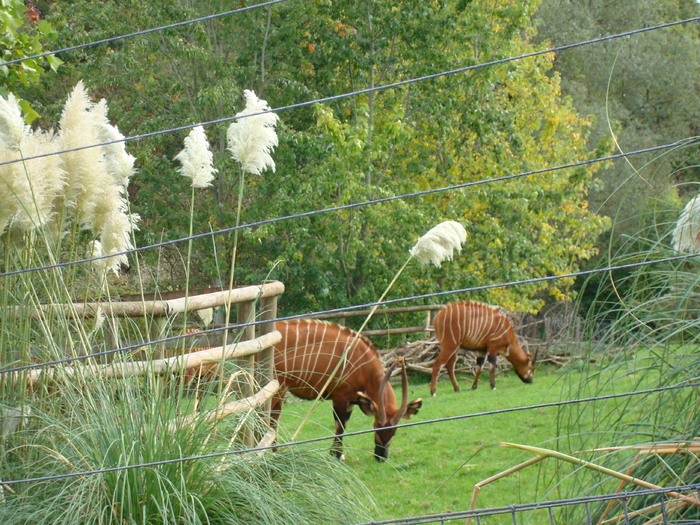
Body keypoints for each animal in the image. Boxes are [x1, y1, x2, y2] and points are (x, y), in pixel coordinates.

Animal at [270, 318, 422, 460]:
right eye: (377, 426)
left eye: (394, 431)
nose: (381, 457)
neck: (364, 365)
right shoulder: (340, 397)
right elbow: (340, 425)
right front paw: (336, 455)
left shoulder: (351, 400)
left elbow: (344, 425)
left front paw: (337, 454)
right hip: (277, 391)